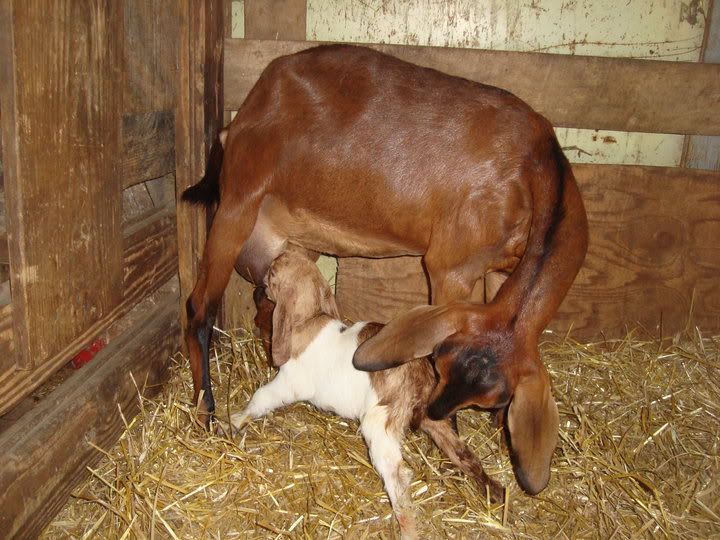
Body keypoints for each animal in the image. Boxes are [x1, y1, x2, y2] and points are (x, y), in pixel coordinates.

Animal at [183, 44, 588, 495]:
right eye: (440, 365)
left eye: (493, 399)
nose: (430, 413)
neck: (536, 164)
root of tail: (245, 112)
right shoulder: (451, 266)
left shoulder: (504, 269)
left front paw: (500, 431)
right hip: (238, 201)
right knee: (199, 308)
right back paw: (206, 415)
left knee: (266, 305)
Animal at [229, 251, 504, 538]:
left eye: (271, 274)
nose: (256, 288)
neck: (308, 322)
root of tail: (418, 370)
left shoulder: (288, 382)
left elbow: (261, 398)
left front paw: (234, 420)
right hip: (433, 419)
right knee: (465, 455)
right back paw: (496, 493)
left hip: (380, 423)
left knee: (399, 477)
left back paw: (407, 528)